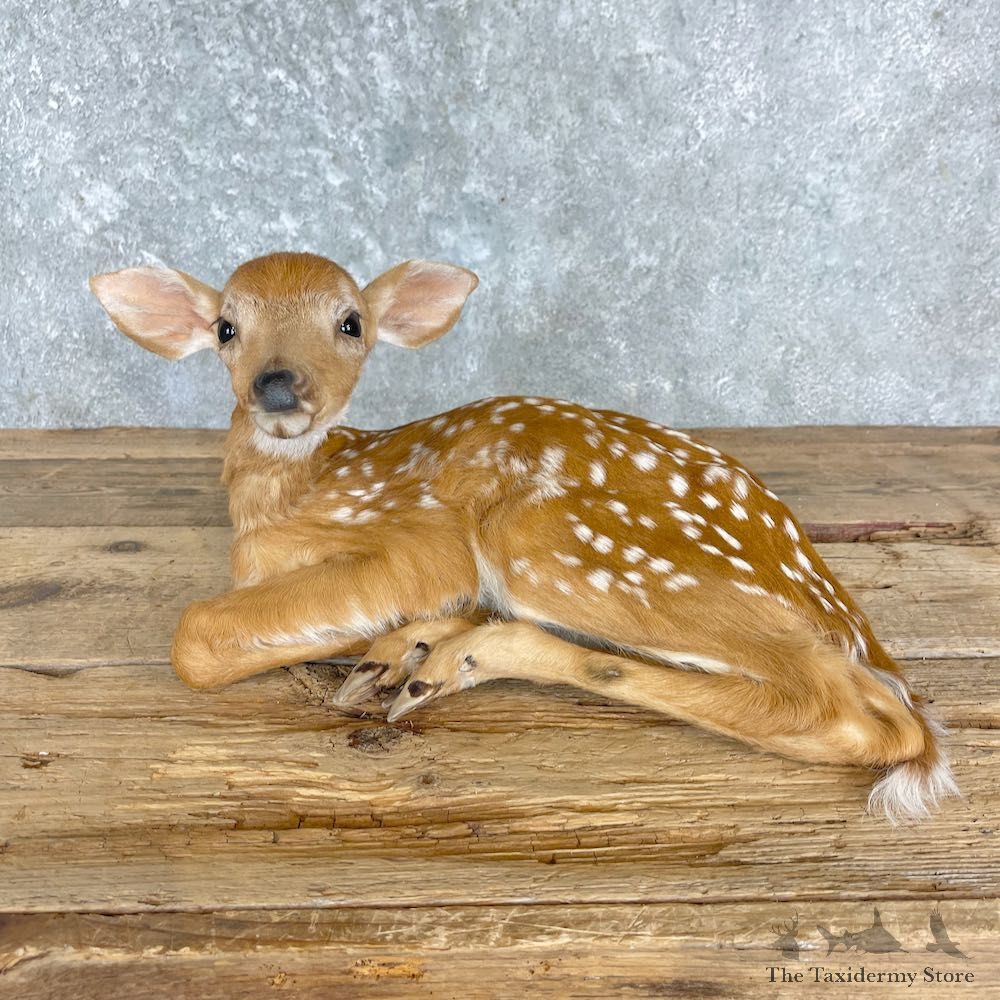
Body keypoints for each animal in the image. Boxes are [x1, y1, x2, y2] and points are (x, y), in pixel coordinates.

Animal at [89, 251, 959, 823]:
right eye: (225, 327)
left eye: (351, 323)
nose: (278, 387)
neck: (289, 499)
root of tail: (845, 610)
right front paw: (402, 646)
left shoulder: (419, 542)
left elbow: (196, 632)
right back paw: (423, 660)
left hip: (558, 540)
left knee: (864, 715)